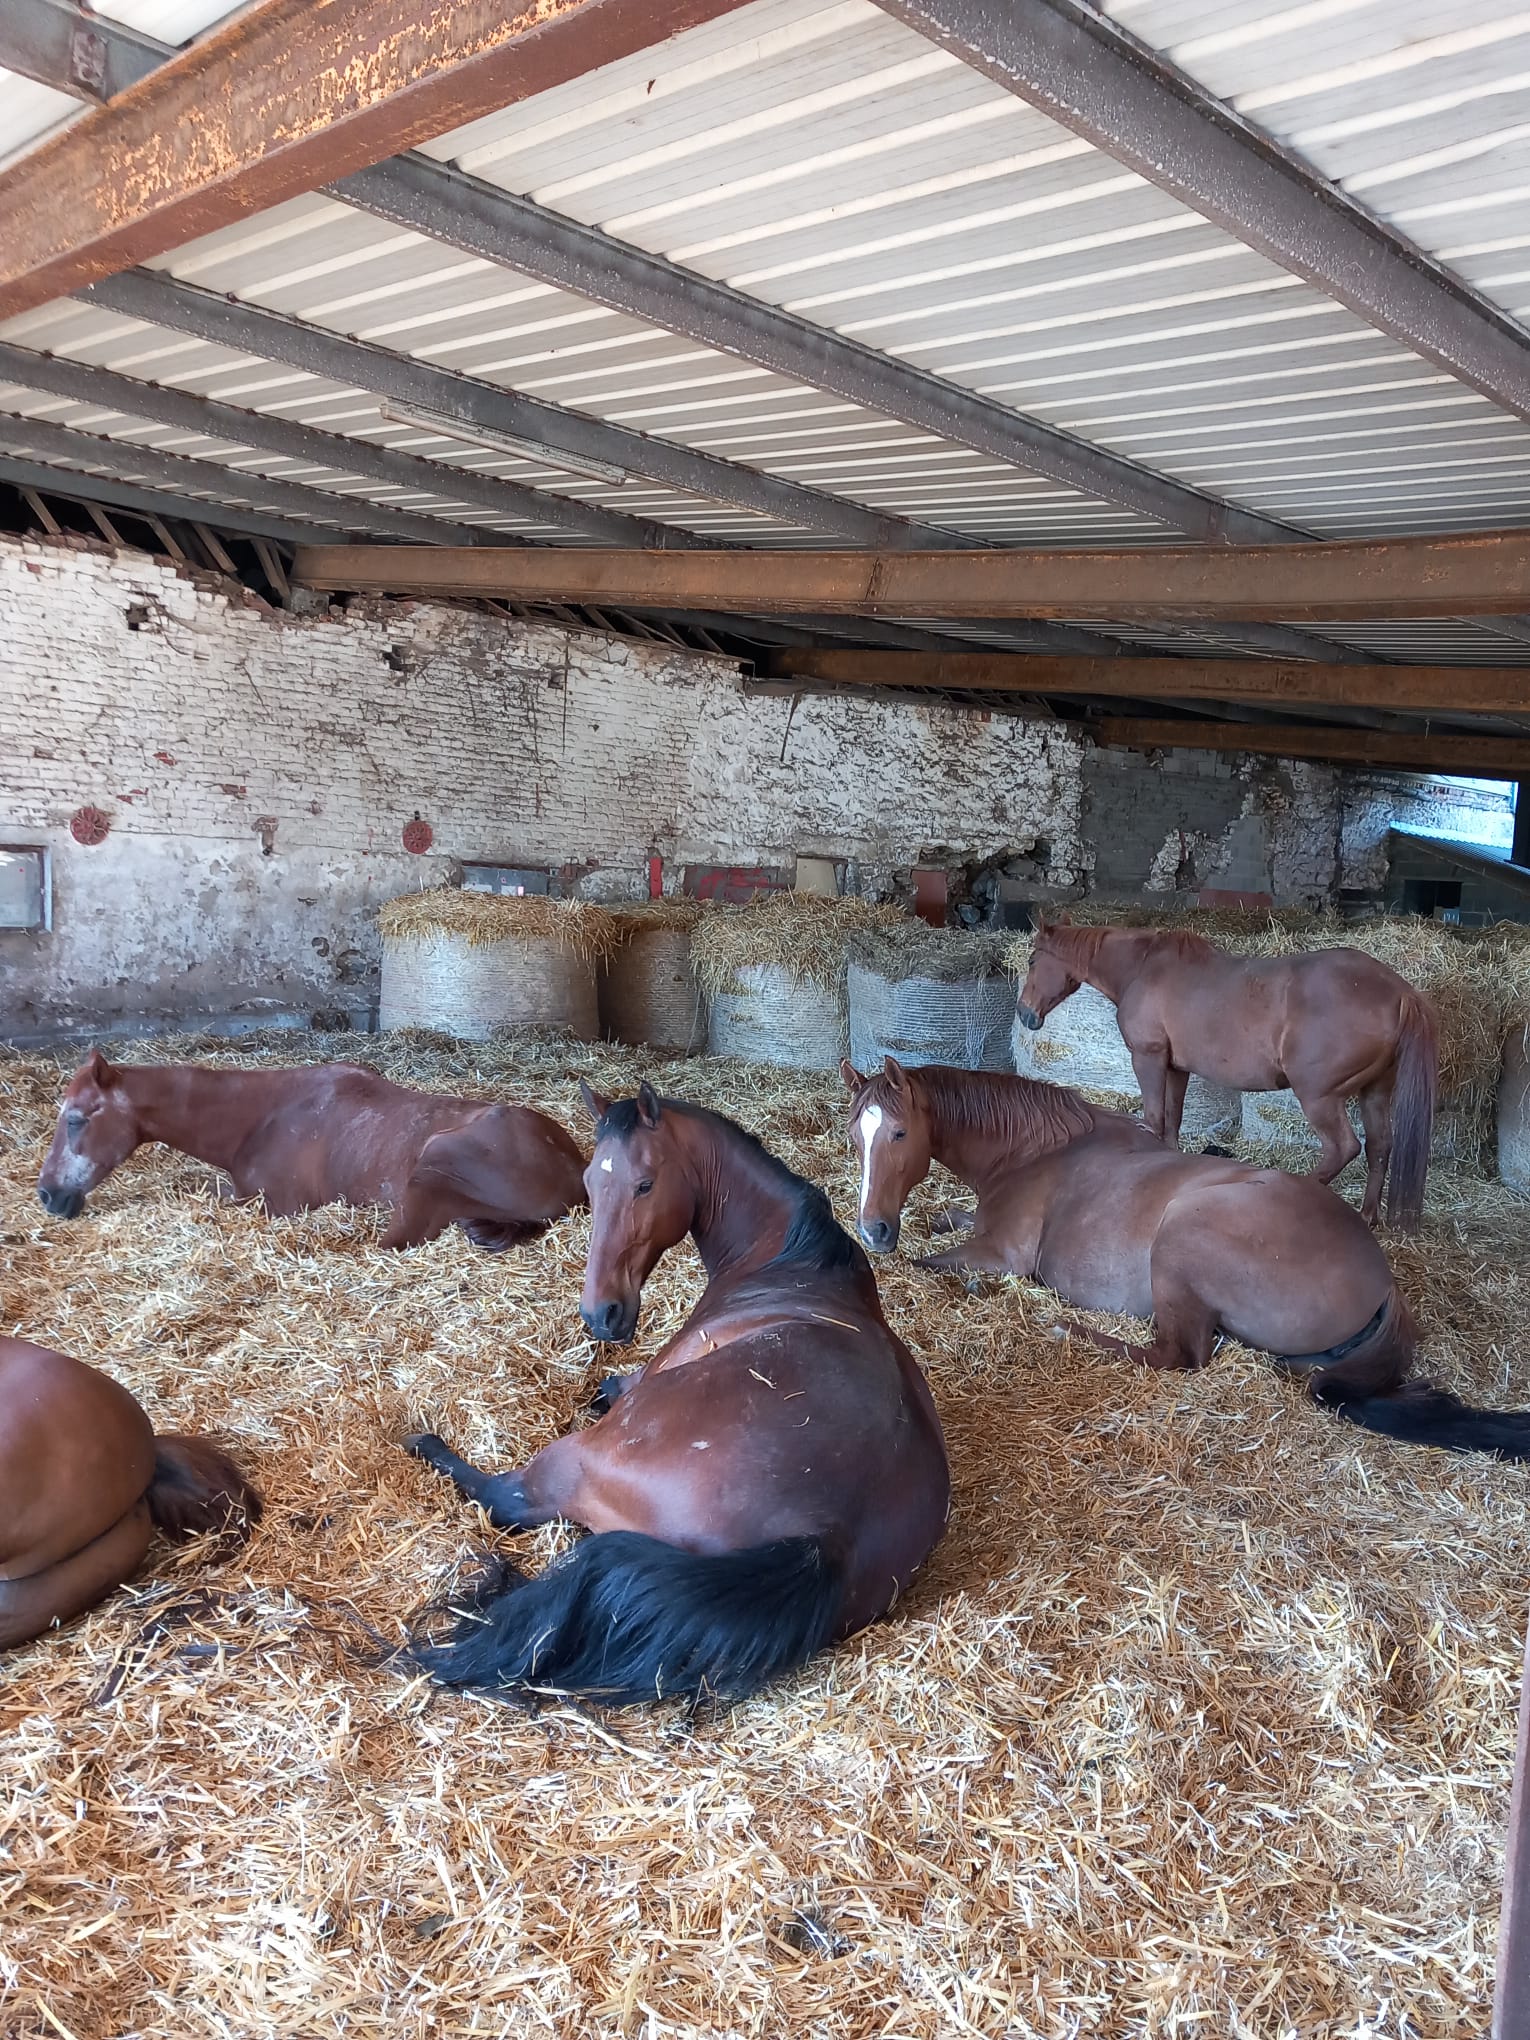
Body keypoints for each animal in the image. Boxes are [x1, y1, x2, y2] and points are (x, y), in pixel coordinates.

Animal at [38, 1050, 587, 1251]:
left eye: (76, 1117)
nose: (47, 1194)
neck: (262, 1117)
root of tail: (575, 1171)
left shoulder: (277, 1204)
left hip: (432, 1167)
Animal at [402, 1081, 951, 1707]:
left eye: (645, 1183)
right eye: (590, 1182)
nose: (601, 1315)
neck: (788, 1258)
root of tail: (825, 1539)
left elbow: (612, 1386)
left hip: (581, 1455)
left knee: (508, 1500)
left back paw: (426, 1446)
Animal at [843, 1057, 1530, 1461]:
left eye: (899, 1133)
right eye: (855, 1137)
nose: (874, 1230)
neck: (1035, 1151)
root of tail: (1384, 1283)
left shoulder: (1000, 1253)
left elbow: (932, 1261)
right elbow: (945, 1221)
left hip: (1181, 1237)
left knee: (1178, 1353)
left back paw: (1064, 1326)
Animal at [1015, 917, 1438, 1229]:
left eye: (1033, 961)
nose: (1025, 1014)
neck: (1144, 967)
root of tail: (1399, 992)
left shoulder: (1148, 1058)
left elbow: (1153, 1119)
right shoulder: (1176, 1069)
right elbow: (1171, 1123)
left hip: (1319, 1097)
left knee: (1344, 1148)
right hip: (1375, 1092)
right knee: (1379, 1147)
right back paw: (1367, 1216)